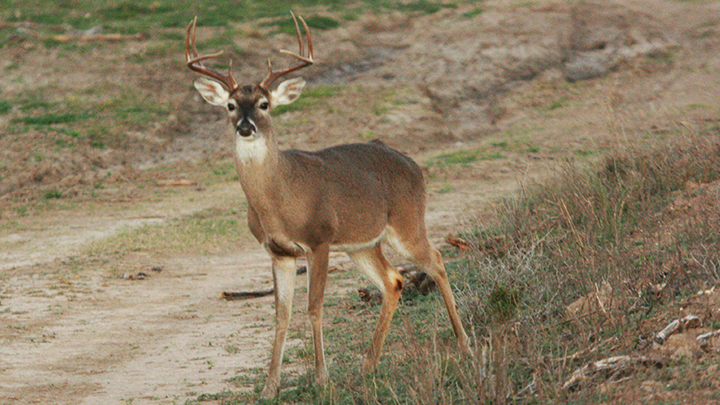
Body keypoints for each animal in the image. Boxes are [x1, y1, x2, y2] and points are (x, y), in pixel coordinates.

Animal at [183, 14, 470, 396]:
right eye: (230, 106)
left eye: (264, 104)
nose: (245, 127)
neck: (279, 200)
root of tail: (412, 163)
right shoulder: (278, 251)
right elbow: (282, 314)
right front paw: (270, 387)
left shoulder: (318, 239)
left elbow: (314, 308)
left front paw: (321, 378)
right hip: (362, 244)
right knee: (393, 280)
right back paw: (368, 364)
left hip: (407, 222)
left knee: (436, 260)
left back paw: (464, 344)